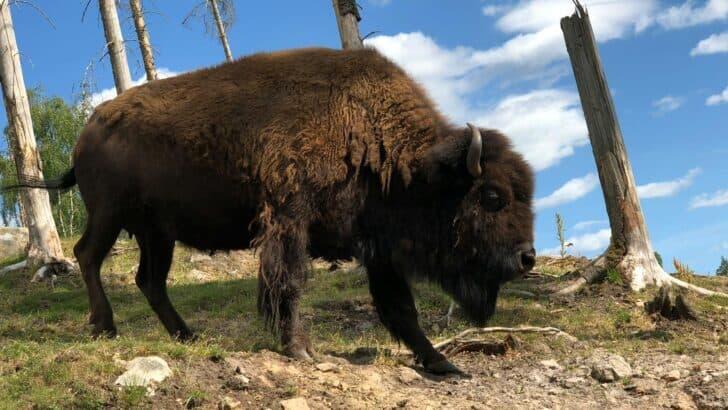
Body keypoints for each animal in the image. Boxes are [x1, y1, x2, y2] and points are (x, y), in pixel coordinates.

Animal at [21, 48, 535, 374]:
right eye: (491, 197)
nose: (527, 257)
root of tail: (89, 129)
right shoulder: (289, 219)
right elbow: (288, 282)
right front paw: (300, 350)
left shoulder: (378, 247)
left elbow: (400, 309)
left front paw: (442, 363)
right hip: (109, 215)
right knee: (88, 255)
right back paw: (105, 327)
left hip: (157, 233)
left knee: (150, 280)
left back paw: (187, 336)